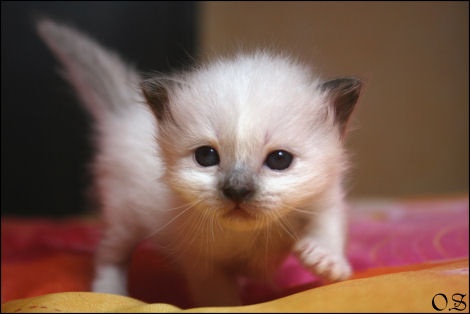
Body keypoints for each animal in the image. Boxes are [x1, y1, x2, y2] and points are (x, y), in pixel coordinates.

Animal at [38, 19, 364, 306]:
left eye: (280, 160)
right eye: (206, 156)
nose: (237, 191)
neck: (245, 234)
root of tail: (125, 113)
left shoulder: (325, 195)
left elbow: (328, 223)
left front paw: (326, 260)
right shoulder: (199, 261)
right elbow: (218, 294)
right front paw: (232, 306)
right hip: (123, 215)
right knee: (110, 254)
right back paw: (109, 292)